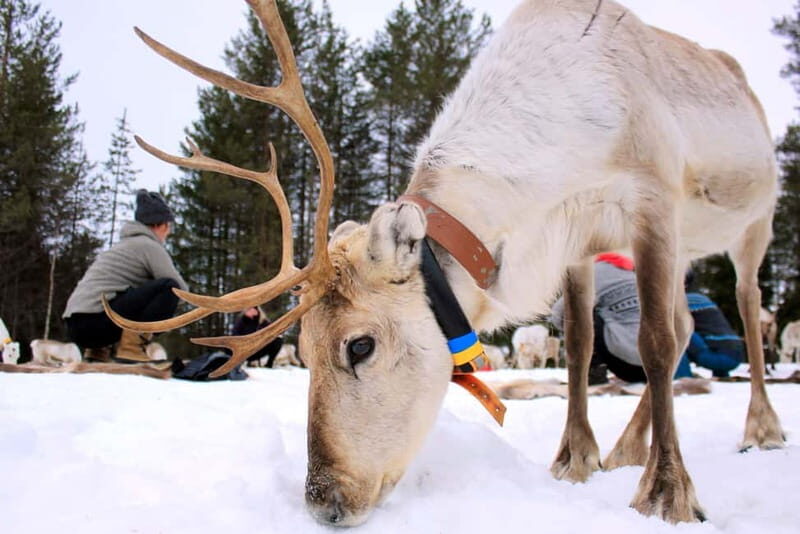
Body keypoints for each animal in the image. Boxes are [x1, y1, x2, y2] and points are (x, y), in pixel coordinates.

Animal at [105, 0, 785, 527]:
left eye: (359, 345)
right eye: (302, 346)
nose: (323, 503)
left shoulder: (654, 203)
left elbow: (651, 343)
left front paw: (669, 494)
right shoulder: (576, 243)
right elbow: (580, 347)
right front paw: (575, 461)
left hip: (753, 223)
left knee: (742, 308)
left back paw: (761, 428)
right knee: (689, 323)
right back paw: (625, 449)